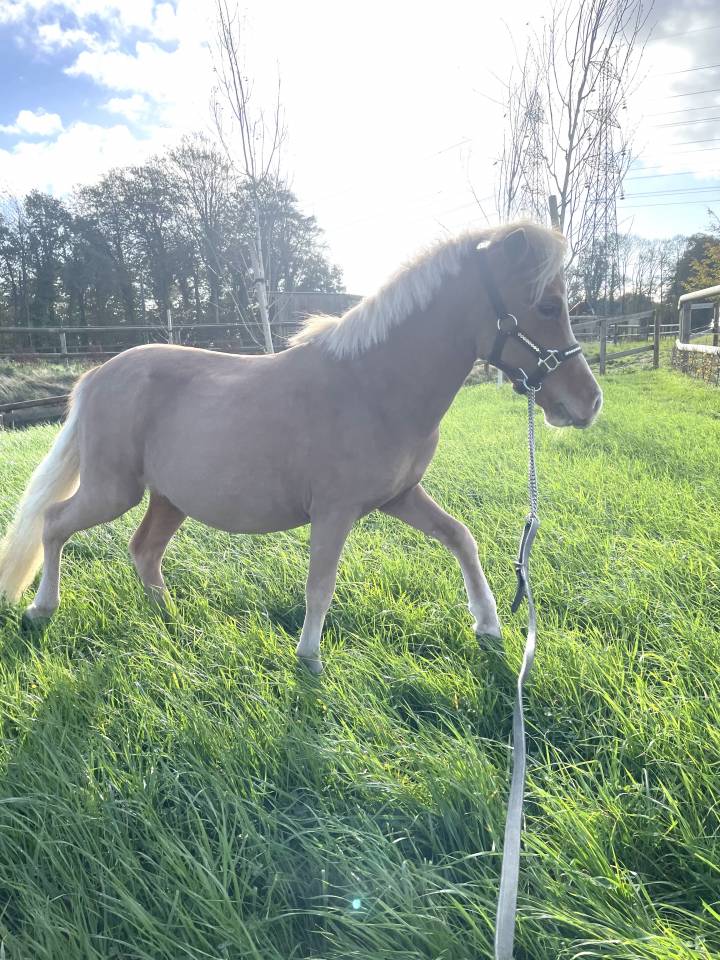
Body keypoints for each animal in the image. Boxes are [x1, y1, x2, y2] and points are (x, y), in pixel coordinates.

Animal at [0, 221, 602, 673]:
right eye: (548, 306)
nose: (589, 401)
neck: (374, 385)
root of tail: (96, 376)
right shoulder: (334, 512)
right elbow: (320, 586)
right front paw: (309, 658)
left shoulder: (400, 496)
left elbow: (461, 537)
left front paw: (490, 626)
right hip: (112, 489)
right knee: (54, 524)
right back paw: (40, 610)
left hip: (168, 499)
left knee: (144, 551)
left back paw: (172, 622)